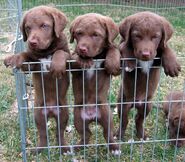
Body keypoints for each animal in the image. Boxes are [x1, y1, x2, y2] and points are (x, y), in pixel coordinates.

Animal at [3, 5, 71, 154]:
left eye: (44, 26)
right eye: (28, 28)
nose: (32, 42)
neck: (46, 51)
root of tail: (50, 112)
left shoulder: (69, 57)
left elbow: (60, 52)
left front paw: (57, 65)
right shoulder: (32, 65)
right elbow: (25, 55)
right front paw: (14, 58)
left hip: (63, 113)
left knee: (59, 132)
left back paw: (64, 148)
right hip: (38, 115)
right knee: (43, 133)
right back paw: (39, 149)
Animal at [70, 12, 120, 154]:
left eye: (96, 35)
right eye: (79, 33)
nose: (82, 48)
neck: (95, 57)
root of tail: (92, 116)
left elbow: (113, 48)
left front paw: (112, 62)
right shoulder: (72, 65)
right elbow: (74, 56)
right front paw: (83, 59)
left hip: (107, 116)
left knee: (107, 133)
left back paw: (114, 148)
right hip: (78, 118)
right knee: (87, 134)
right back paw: (78, 147)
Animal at [116, 11, 181, 140]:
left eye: (155, 37)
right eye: (136, 36)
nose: (145, 54)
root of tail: (136, 103)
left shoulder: (156, 57)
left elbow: (165, 47)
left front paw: (172, 64)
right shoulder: (121, 46)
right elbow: (124, 45)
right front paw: (130, 62)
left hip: (147, 105)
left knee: (139, 119)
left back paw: (142, 135)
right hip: (123, 103)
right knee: (124, 121)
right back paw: (118, 135)